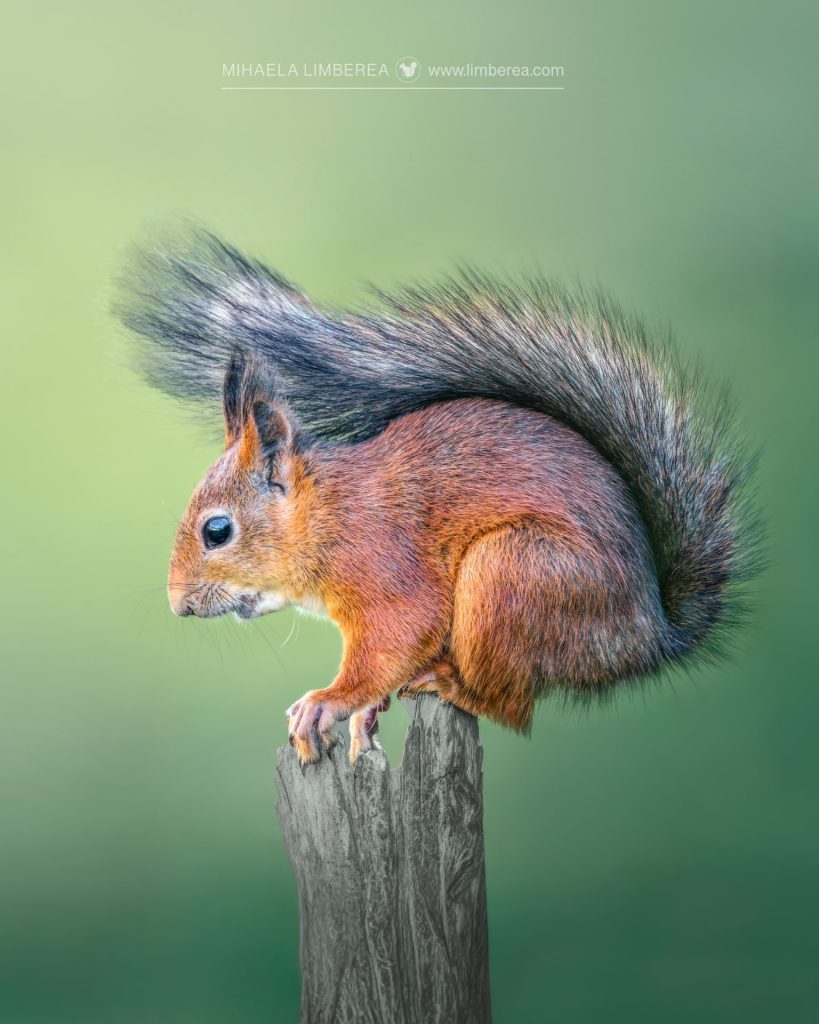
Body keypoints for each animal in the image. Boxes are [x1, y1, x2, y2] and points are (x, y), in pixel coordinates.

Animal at [118, 230, 758, 764]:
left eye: (217, 530)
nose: (179, 605)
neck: (329, 513)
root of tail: (649, 635)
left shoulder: (386, 570)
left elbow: (396, 636)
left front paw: (328, 700)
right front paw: (358, 711)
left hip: (512, 574)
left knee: (511, 708)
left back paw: (451, 685)